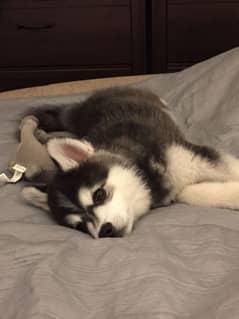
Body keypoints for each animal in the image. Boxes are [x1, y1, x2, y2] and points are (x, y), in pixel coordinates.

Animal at [22, 87, 239, 238]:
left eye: (99, 195)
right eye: (81, 226)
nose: (104, 231)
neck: (145, 172)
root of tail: (84, 106)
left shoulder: (192, 157)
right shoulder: (178, 190)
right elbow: (200, 194)